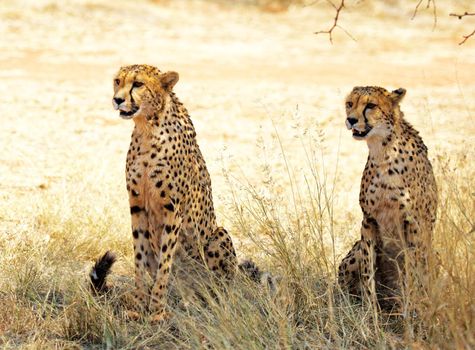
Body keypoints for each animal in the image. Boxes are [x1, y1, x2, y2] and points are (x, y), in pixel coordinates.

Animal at [96, 64, 242, 322]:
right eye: (117, 81)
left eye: (138, 84)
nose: (117, 99)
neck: (147, 128)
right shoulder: (136, 205)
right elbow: (139, 259)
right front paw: (139, 305)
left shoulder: (173, 210)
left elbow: (165, 262)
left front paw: (156, 311)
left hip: (218, 235)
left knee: (219, 287)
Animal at [338, 85, 438, 312]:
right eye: (350, 103)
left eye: (370, 105)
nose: (351, 120)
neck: (383, 151)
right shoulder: (368, 220)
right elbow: (368, 273)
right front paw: (370, 313)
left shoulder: (413, 223)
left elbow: (412, 272)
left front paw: (413, 311)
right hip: (355, 251)